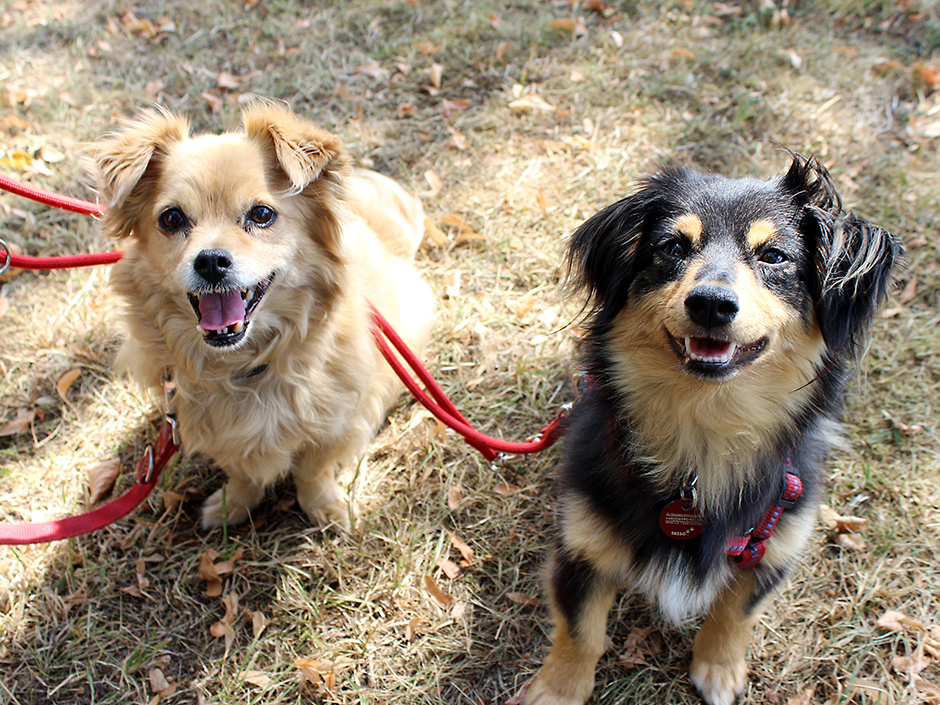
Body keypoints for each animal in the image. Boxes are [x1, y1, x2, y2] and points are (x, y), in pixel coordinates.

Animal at [95, 100, 434, 528]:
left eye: (261, 214)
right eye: (171, 218)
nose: (210, 261)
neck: (244, 367)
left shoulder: (338, 423)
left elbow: (312, 470)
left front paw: (324, 507)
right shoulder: (210, 428)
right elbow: (242, 472)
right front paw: (234, 505)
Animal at [524, 155, 900, 704]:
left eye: (774, 255)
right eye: (674, 247)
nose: (711, 303)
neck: (704, 435)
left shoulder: (775, 543)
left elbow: (735, 614)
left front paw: (720, 670)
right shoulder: (582, 540)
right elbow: (581, 632)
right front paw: (558, 689)